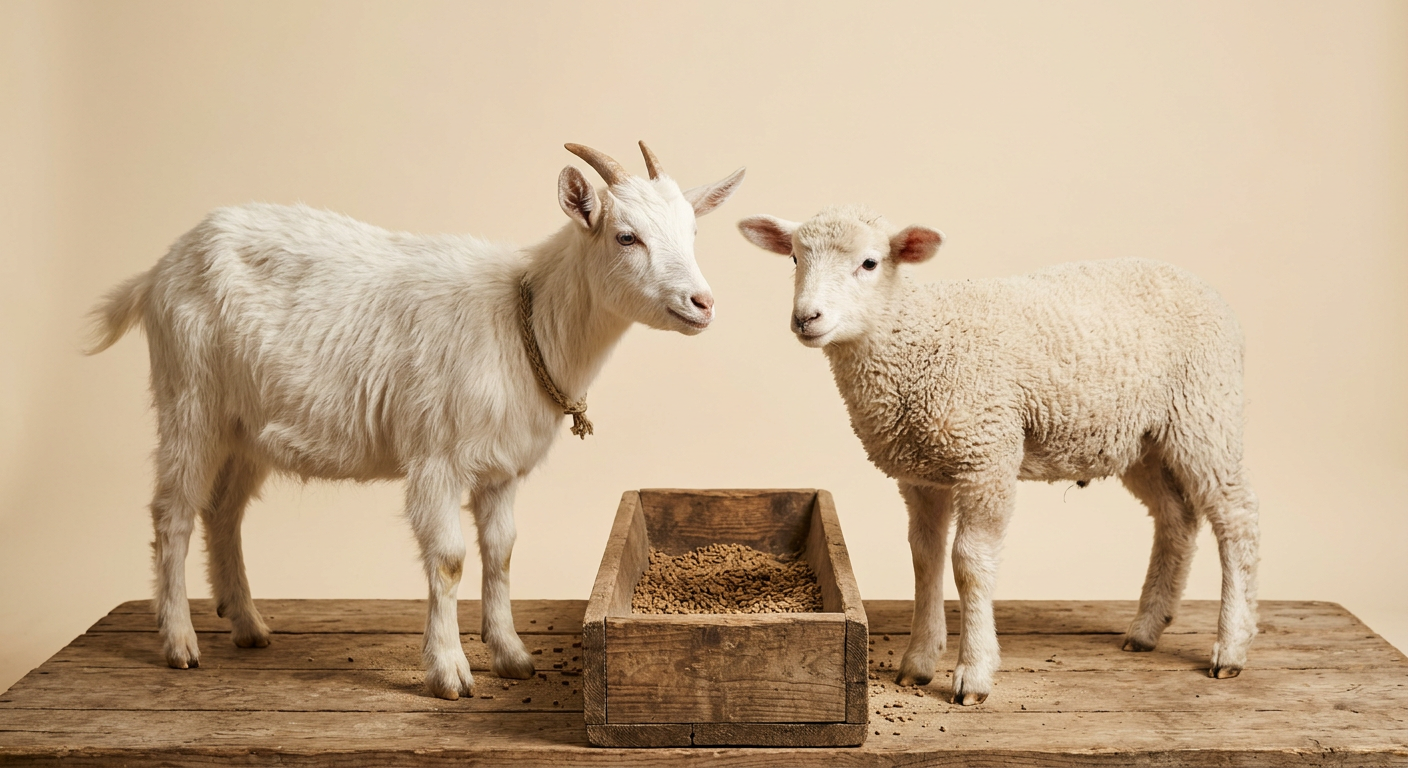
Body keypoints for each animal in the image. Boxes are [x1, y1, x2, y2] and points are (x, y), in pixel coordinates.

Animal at [87, 142, 745, 700]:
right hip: (189, 398)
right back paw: (179, 642)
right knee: (173, 513)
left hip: (244, 426)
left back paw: (248, 623)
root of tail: (158, 271)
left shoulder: (501, 469)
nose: (703, 303)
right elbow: (450, 559)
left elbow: (502, 552)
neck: (522, 319)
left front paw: (512, 655)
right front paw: (449, 671)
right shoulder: (437, 458)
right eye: (626, 236)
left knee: (224, 511)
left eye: (692, 231)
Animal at [738, 205, 1259, 705]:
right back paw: (1147, 629)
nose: (806, 318)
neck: (916, 338)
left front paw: (973, 673)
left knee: (1236, 520)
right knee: (1177, 518)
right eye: (794, 259)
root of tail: (1205, 288)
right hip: (1141, 440)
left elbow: (969, 563)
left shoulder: (986, 457)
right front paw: (918, 662)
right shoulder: (921, 474)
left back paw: (1231, 646)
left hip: (1205, 413)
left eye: (869, 263)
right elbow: (924, 557)